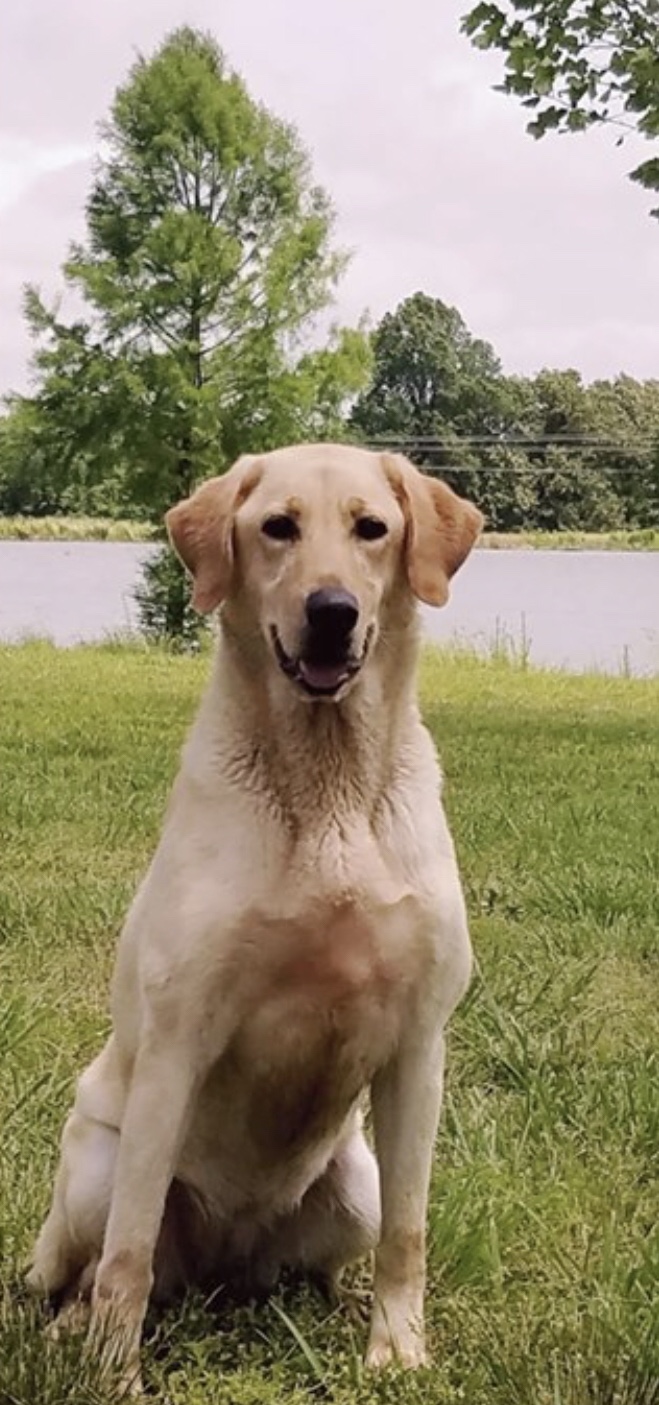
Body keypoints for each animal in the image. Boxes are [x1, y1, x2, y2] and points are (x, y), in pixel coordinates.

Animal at [28, 443, 483, 1388]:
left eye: (371, 528)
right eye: (277, 526)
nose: (332, 611)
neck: (327, 788)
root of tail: (224, 1262)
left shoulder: (419, 1043)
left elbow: (409, 1232)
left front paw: (396, 1350)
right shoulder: (176, 1041)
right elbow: (127, 1255)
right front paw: (113, 1375)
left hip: (354, 1184)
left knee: (321, 1254)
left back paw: (326, 1301)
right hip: (95, 1163)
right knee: (91, 1268)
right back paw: (70, 1332)